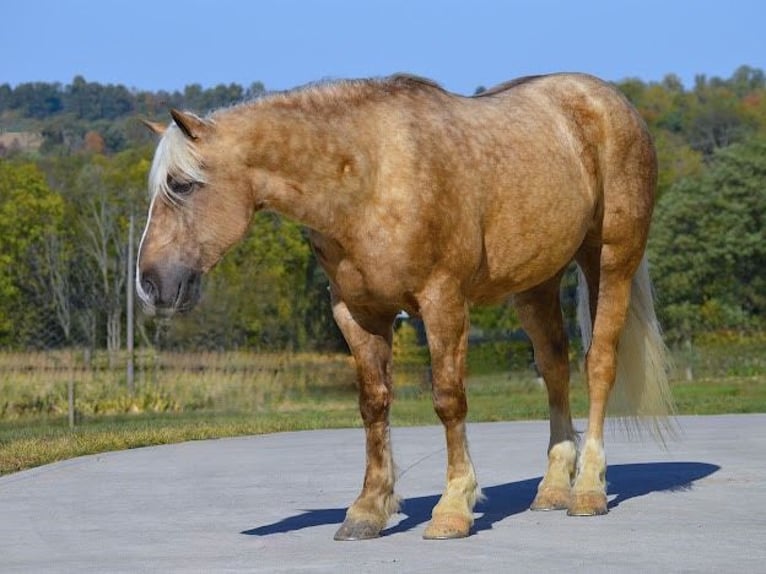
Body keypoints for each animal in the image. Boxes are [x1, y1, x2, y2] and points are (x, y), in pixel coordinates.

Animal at [138, 74, 680, 544]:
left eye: (182, 185)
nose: (149, 284)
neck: (369, 174)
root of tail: (607, 100)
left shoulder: (442, 301)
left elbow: (448, 400)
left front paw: (453, 508)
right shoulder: (357, 313)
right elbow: (373, 405)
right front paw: (367, 510)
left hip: (610, 261)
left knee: (599, 364)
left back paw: (588, 490)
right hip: (536, 284)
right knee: (555, 369)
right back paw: (551, 489)